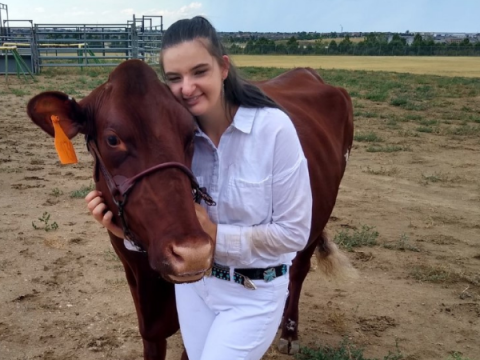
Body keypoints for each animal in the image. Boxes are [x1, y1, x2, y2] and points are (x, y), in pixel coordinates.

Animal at [27, 60, 356, 358]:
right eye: (112, 139)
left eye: (190, 134)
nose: (193, 253)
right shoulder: (138, 288)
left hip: (316, 214)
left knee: (299, 269)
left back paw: (289, 332)